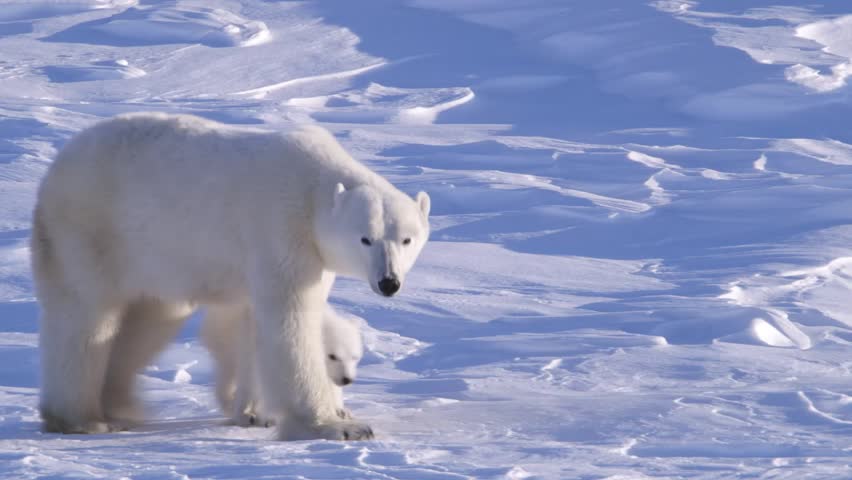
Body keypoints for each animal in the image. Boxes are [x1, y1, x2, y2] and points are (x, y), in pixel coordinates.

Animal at [202, 303, 364, 427]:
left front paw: (340, 411)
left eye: (354, 357)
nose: (346, 379)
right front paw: (252, 416)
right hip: (226, 340)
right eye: (332, 356)